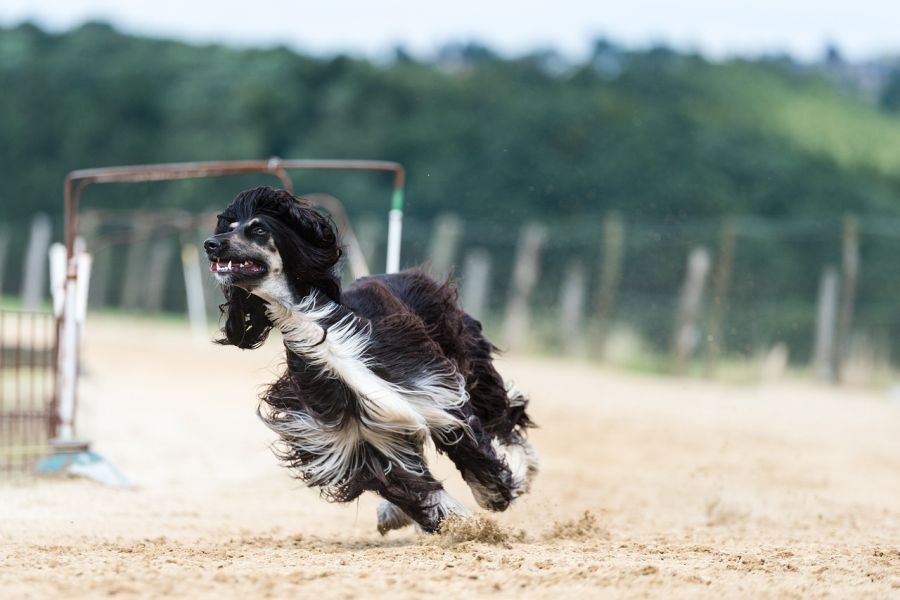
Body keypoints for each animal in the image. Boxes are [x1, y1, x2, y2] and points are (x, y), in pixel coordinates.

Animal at [204, 185, 536, 532]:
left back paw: (523, 465)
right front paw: (448, 521)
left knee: (503, 411)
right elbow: (408, 484)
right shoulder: (359, 438)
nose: (210, 245)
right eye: (228, 228)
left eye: (258, 229)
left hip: (464, 353)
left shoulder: (434, 393)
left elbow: (474, 456)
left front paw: (495, 496)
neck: (314, 325)